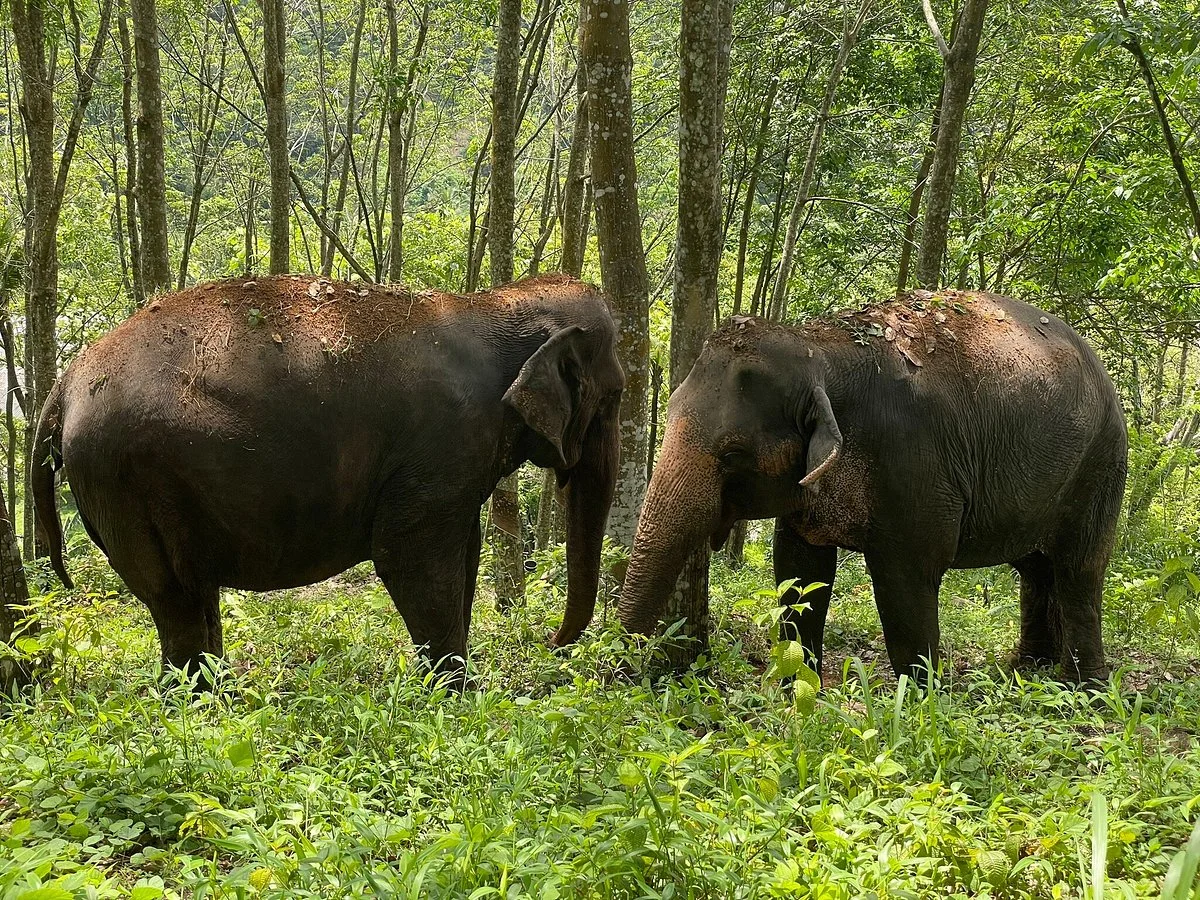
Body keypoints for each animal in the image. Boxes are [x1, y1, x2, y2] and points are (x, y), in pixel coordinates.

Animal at [33, 273, 624, 686]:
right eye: (616, 396)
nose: (551, 645)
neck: (495, 302)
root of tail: (64, 385)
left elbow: (464, 555)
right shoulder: (444, 443)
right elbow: (408, 557)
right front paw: (458, 693)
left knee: (193, 591)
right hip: (124, 479)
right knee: (173, 594)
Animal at [619, 290, 1127, 685]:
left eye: (732, 453)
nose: (620, 674)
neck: (820, 351)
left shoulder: (915, 461)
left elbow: (906, 578)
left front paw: (919, 703)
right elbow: (798, 570)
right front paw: (796, 695)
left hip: (1101, 464)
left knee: (1079, 569)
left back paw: (1085, 687)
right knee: (1037, 567)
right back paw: (1029, 668)